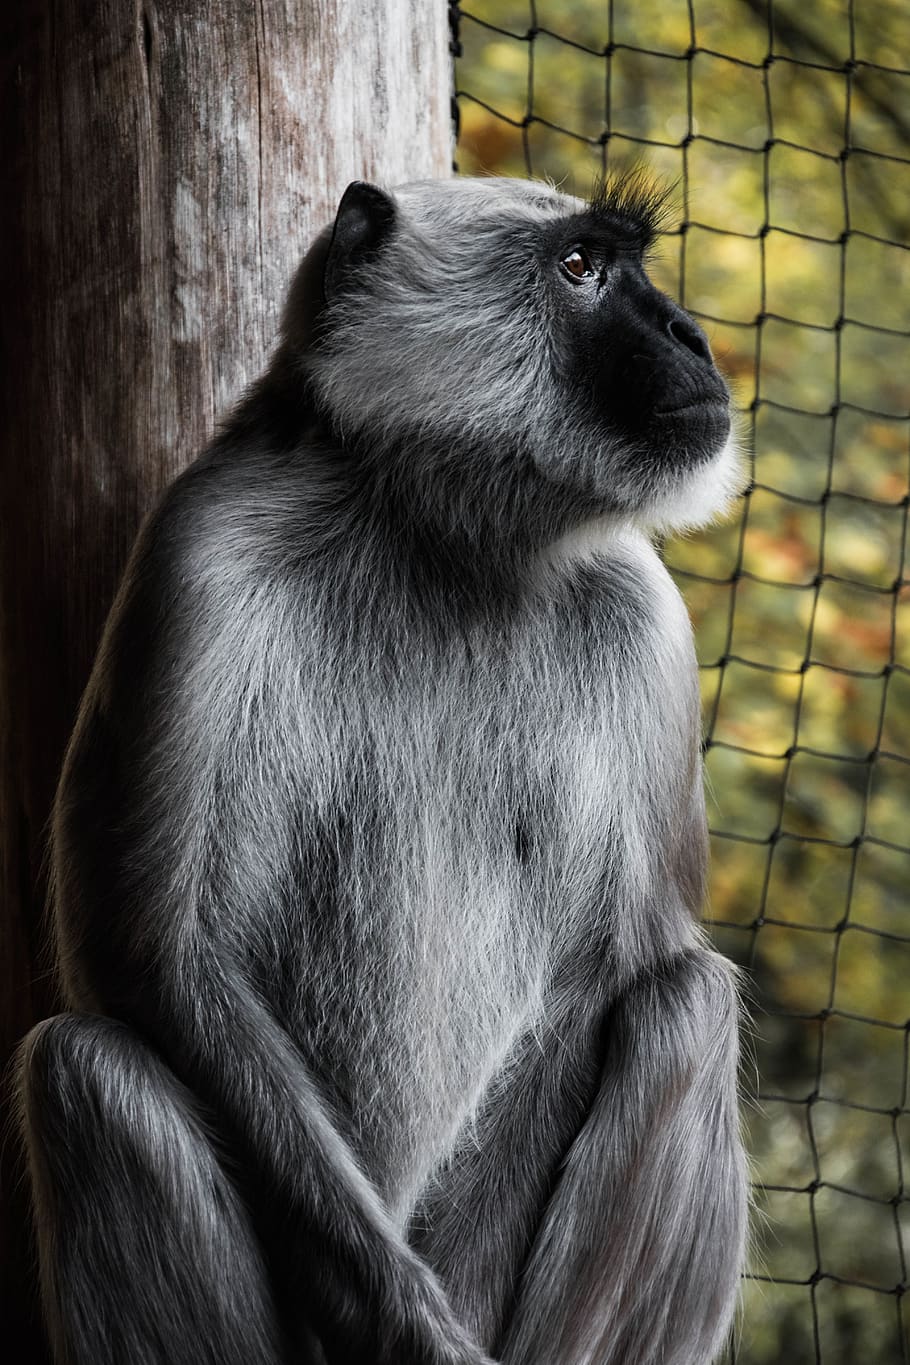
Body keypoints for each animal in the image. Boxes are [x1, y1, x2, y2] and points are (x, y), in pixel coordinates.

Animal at [17, 174, 748, 1365]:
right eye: (580, 267)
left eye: (611, 263)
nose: (691, 336)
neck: (436, 537)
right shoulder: (200, 554)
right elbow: (152, 957)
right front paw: (411, 1332)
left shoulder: (643, 615)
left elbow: (613, 969)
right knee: (87, 1067)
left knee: (686, 1002)